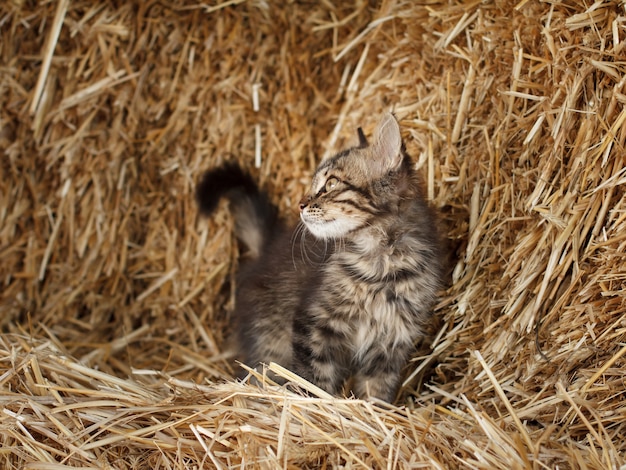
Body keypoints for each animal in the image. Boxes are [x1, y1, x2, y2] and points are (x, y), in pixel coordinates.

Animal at [197, 113, 442, 400]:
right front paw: (317, 402)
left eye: (331, 184)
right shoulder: (314, 324)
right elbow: (314, 380)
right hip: (269, 343)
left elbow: (376, 392)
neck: (381, 264)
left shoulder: (391, 341)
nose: (300, 204)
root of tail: (267, 250)